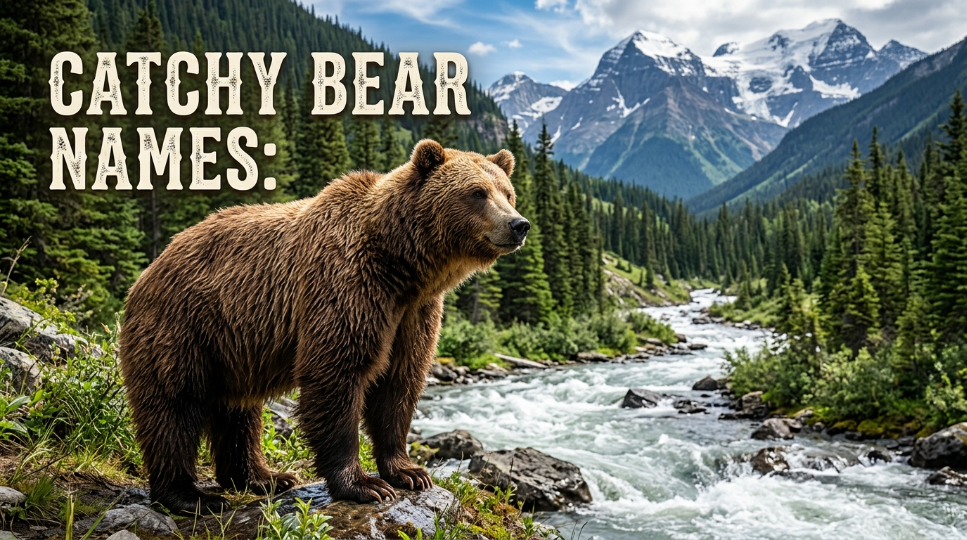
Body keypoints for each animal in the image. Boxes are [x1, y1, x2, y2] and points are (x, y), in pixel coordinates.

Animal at [118, 140, 530, 514]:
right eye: (477, 192)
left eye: (508, 192)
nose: (519, 224)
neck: (402, 265)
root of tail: (150, 269)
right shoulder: (346, 284)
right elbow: (337, 374)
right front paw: (364, 484)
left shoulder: (414, 314)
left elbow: (399, 383)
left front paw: (410, 472)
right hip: (183, 327)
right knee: (174, 405)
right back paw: (189, 495)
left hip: (233, 345)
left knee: (238, 412)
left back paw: (264, 477)